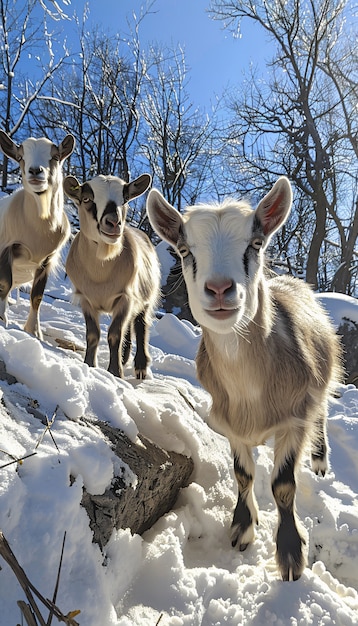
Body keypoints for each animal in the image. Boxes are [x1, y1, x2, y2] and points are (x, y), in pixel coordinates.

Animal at [0, 129, 75, 338]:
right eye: (20, 157)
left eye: (55, 156)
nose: (35, 171)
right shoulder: (6, 247)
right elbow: (5, 284)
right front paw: (2, 319)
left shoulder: (46, 261)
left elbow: (37, 296)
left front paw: (34, 331)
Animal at [63, 171, 160, 378]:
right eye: (86, 199)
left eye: (125, 199)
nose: (114, 222)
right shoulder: (86, 299)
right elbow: (93, 334)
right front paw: (90, 365)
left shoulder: (125, 297)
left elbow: (115, 335)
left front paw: (115, 372)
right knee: (129, 327)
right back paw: (125, 358)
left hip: (145, 298)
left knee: (140, 325)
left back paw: (140, 366)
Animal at [147, 178, 342, 584]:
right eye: (184, 250)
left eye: (255, 244)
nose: (220, 289)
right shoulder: (229, 420)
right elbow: (243, 474)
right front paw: (241, 527)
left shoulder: (294, 415)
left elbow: (283, 485)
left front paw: (290, 554)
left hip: (321, 384)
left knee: (321, 414)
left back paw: (319, 461)